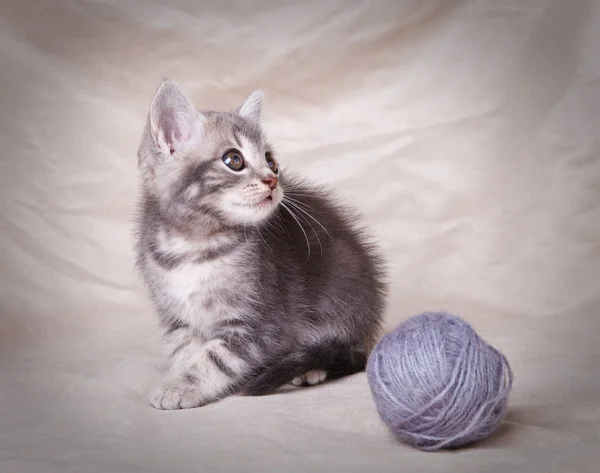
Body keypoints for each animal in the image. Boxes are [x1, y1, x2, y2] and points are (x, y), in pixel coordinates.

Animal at [134, 79, 386, 408]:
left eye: (271, 161)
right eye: (234, 160)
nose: (272, 180)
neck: (194, 244)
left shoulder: (259, 321)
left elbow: (216, 358)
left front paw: (182, 385)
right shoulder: (175, 316)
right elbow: (187, 350)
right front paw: (180, 375)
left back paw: (310, 368)